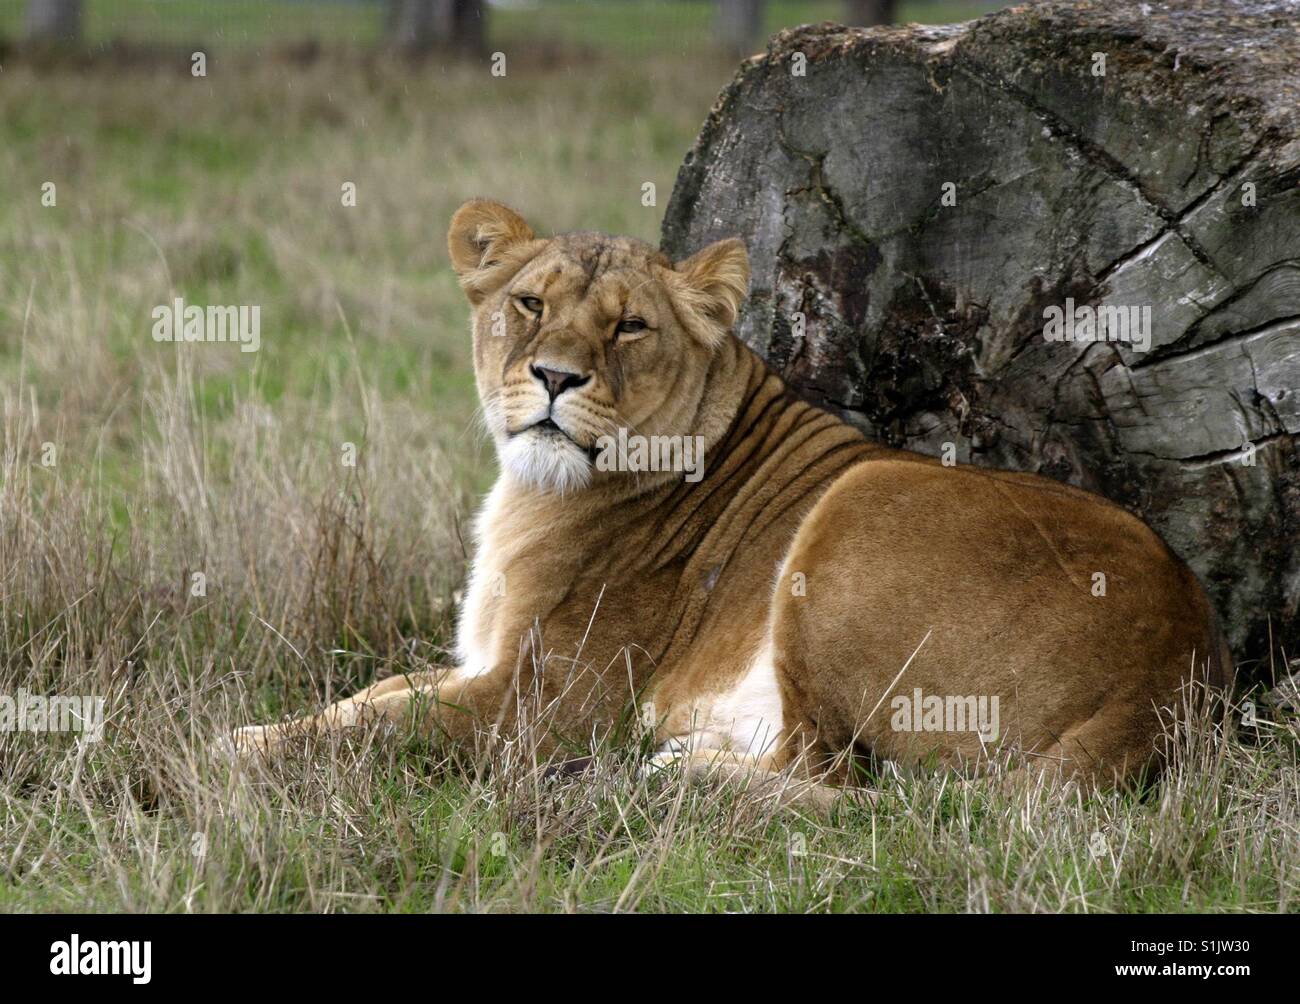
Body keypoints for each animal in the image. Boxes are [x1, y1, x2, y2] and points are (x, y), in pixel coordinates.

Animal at [229, 198, 1233, 809]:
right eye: (528, 304)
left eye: (630, 325)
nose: (554, 377)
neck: (533, 487)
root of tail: (1178, 663)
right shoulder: (487, 666)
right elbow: (374, 694)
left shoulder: (542, 705)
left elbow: (384, 726)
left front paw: (239, 749)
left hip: (858, 504)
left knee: (842, 785)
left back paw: (668, 775)